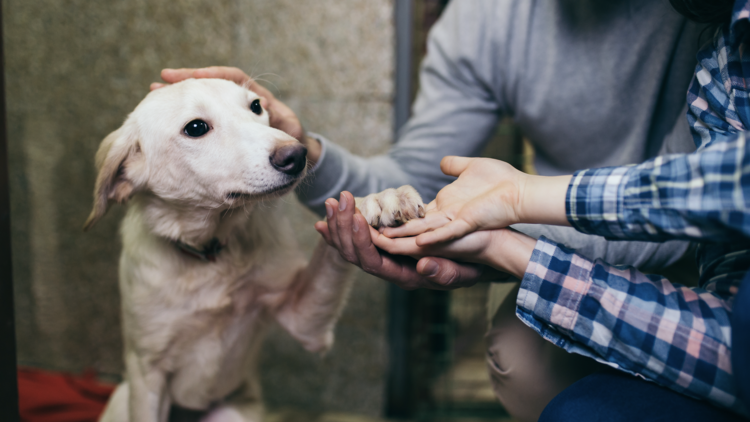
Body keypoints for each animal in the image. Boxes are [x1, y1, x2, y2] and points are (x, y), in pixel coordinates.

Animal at [85, 79, 426, 422]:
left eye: (256, 106)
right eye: (195, 128)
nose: (297, 154)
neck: (211, 253)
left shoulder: (304, 320)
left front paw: (376, 199)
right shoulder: (147, 371)